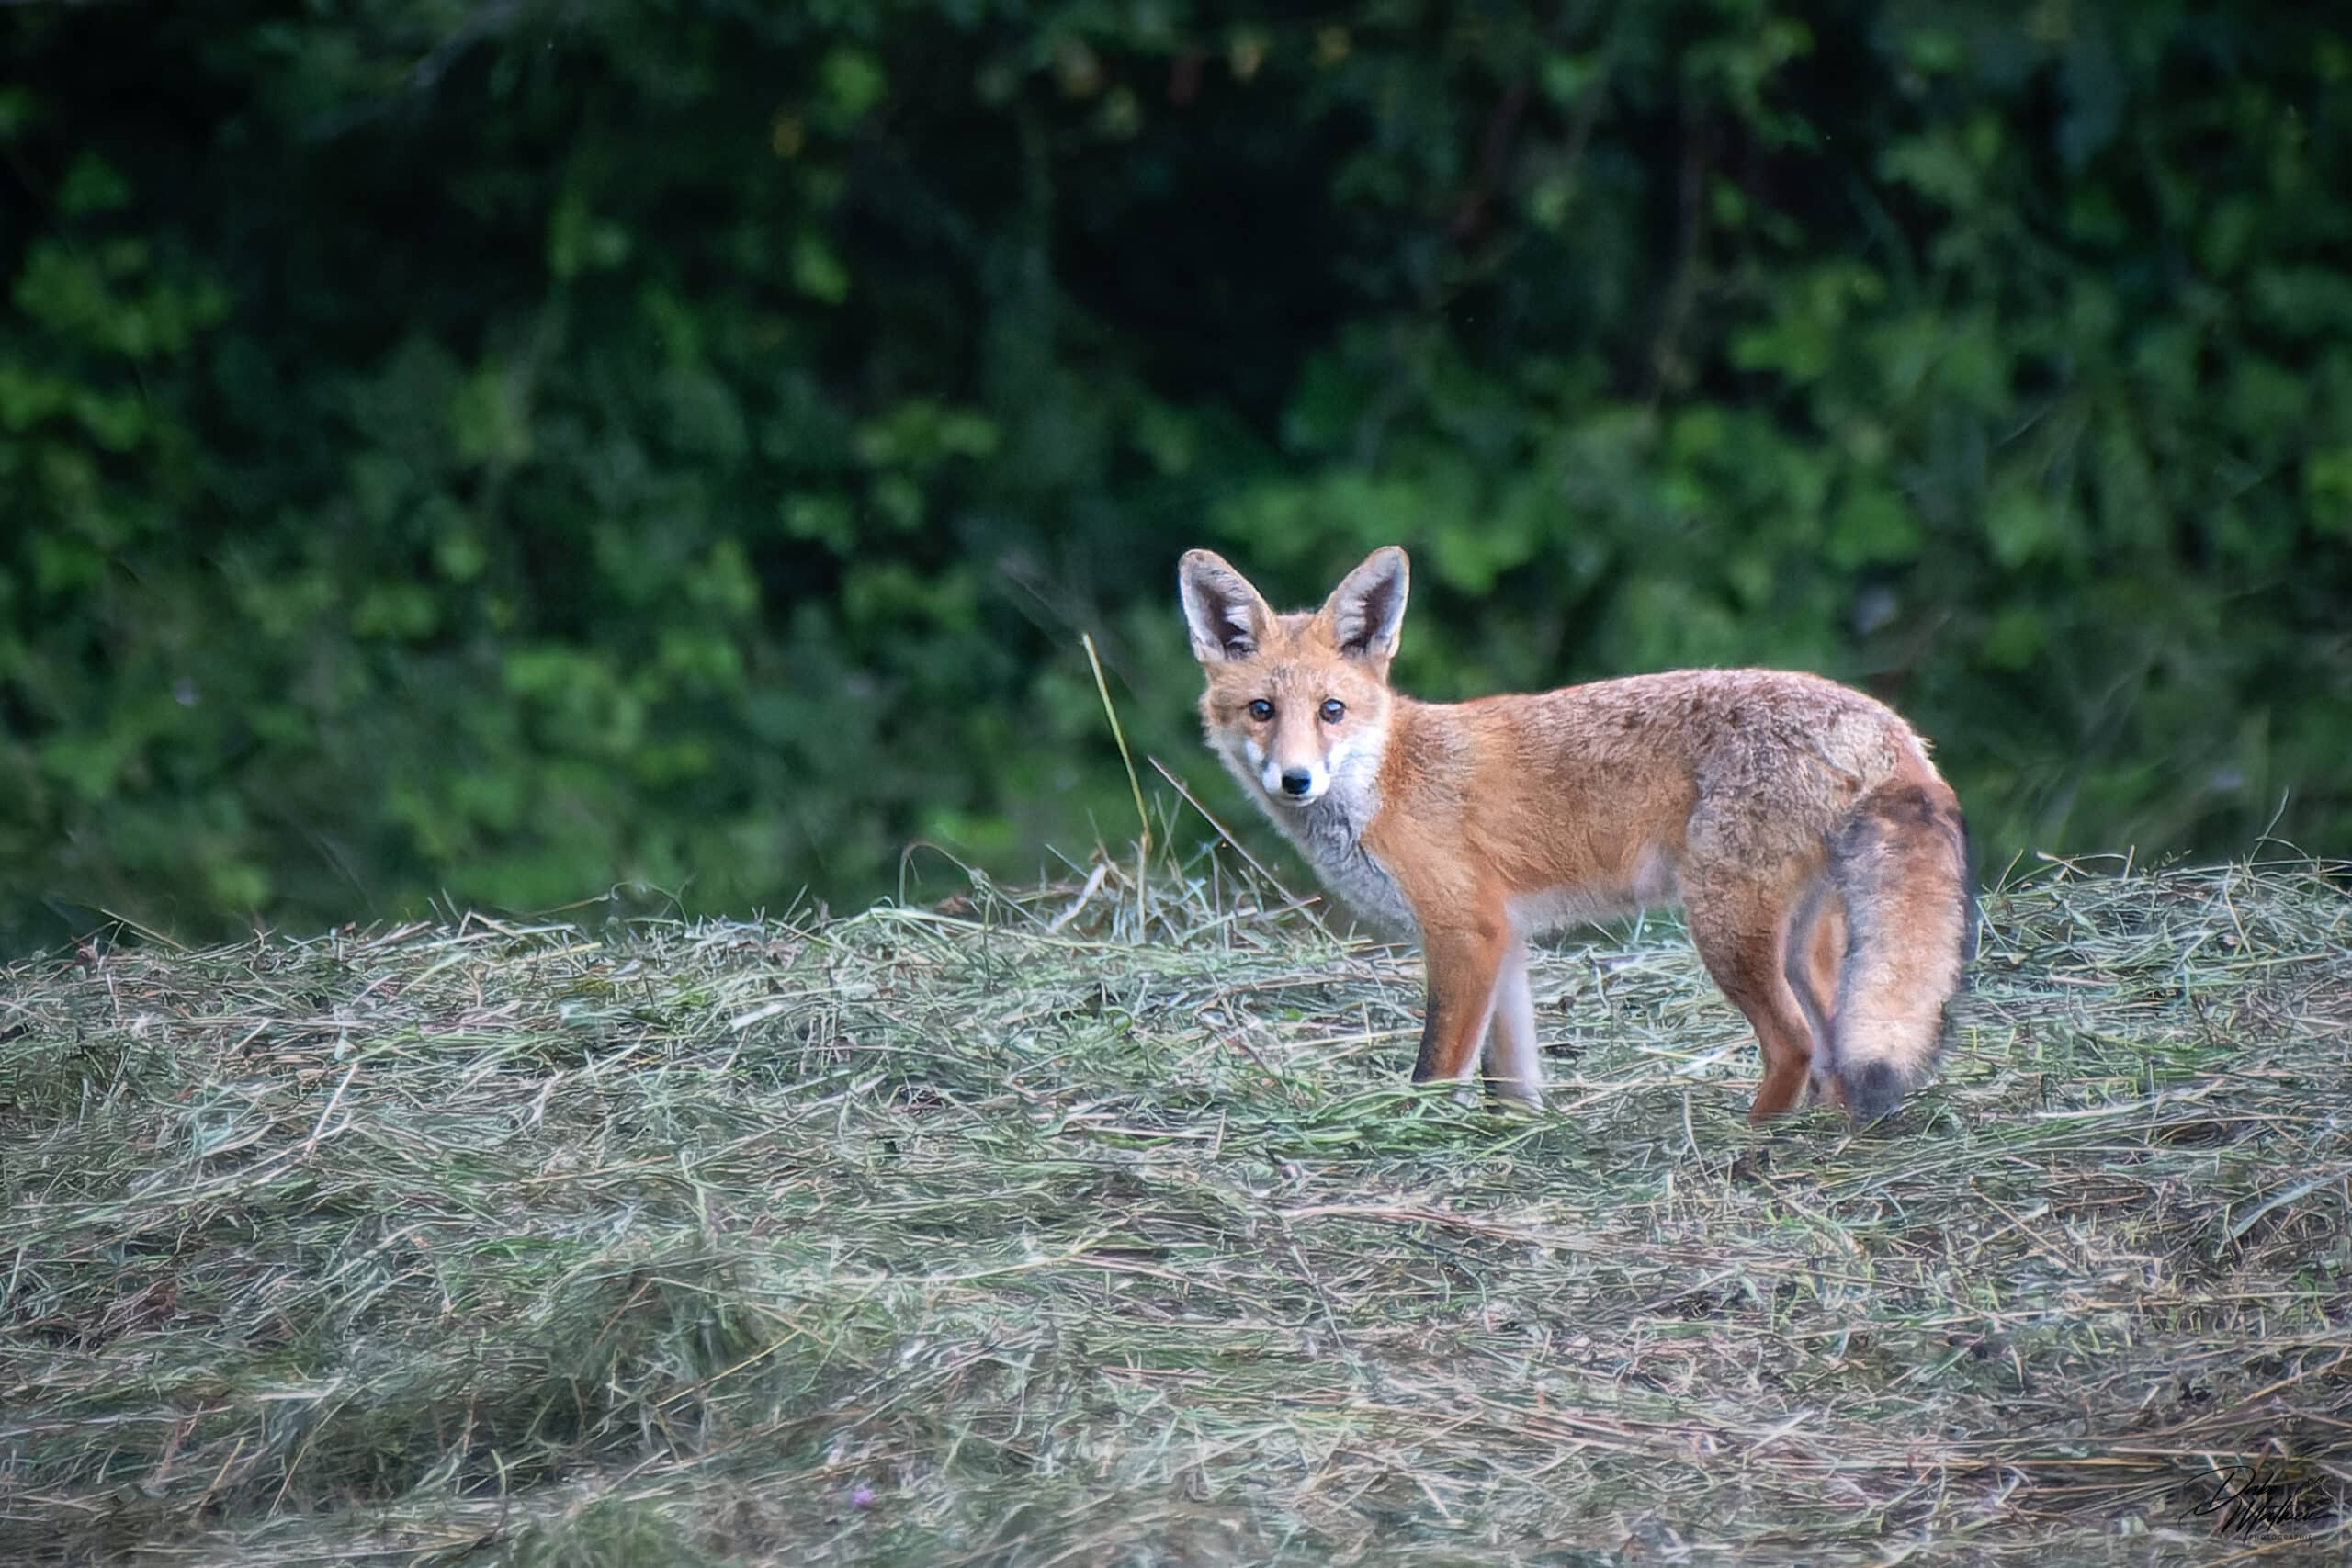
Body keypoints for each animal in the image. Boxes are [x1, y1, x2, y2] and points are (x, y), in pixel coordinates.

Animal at [1179, 544, 1976, 1124]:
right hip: (1804, 945)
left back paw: (1750, 1139)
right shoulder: (1505, 940)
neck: (1389, 779)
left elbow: (1436, 1069)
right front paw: (1519, 1137)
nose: (1295, 780)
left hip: (1725, 926)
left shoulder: (1464, 930)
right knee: (1837, 1047)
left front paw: (1417, 1138)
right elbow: (1512, 1077)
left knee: (1796, 1045)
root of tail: (1882, 719)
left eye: (1332, 710)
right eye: (1261, 710)